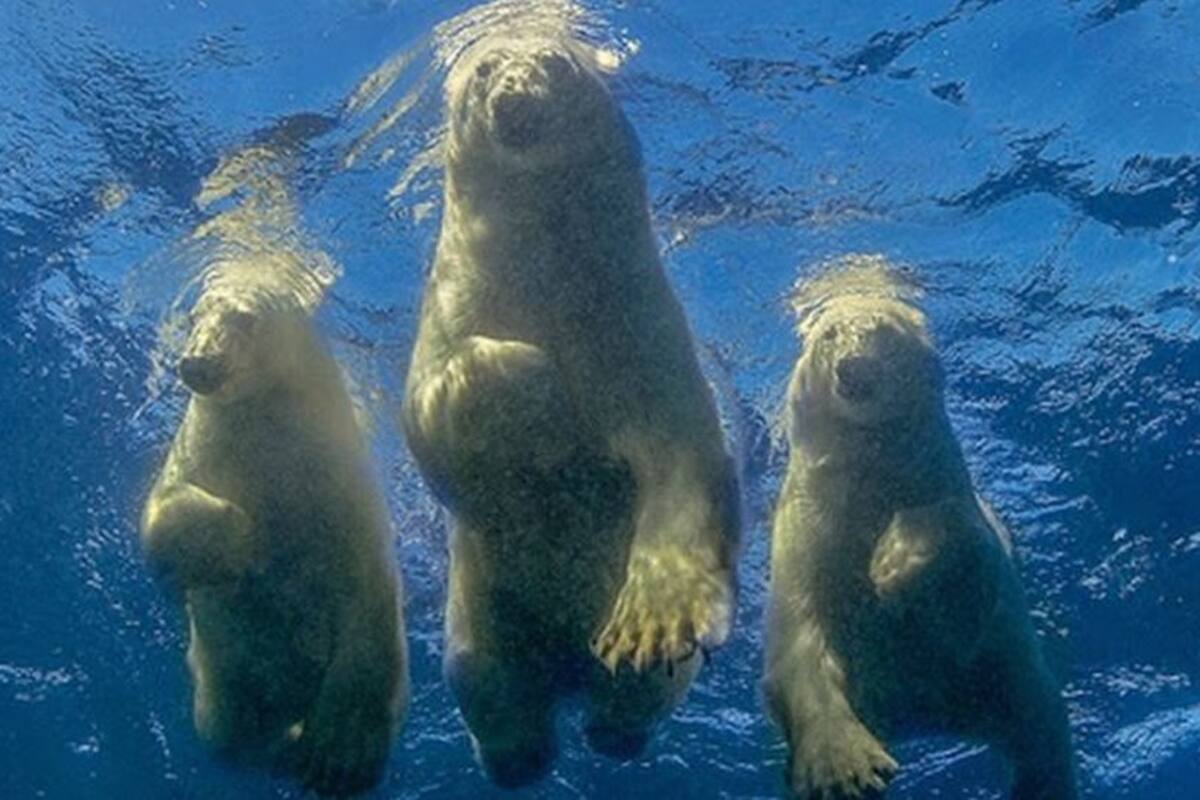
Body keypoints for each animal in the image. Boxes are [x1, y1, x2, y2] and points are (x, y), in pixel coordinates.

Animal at [141, 264, 408, 797]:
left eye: (246, 318)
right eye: (194, 316)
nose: (197, 363)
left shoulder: (347, 500)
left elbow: (366, 609)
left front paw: (341, 755)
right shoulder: (204, 450)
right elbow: (161, 517)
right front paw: (240, 543)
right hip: (224, 683)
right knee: (230, 734)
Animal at [401, 33, 740, 788]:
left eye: (557, 64)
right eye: (483, 69)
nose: (514, 97)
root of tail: (565, 672)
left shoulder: (638, 328)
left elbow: (684, 458)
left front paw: (650, 618)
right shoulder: (454, 307)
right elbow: (435, 415)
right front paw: (542, 394)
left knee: (639, 689)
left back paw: (612, 726)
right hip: (481, 614)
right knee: (486, 681)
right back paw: (521, 756)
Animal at [762, 256, 1077, 800]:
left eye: (886, 331)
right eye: (829, 334)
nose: (854, 368)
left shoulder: (946, 496)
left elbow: (963, 596)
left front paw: (893, 561)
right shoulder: (806, 536)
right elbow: (799, 648)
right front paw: (846, 765)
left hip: (1005, 681)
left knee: (1040, 733)